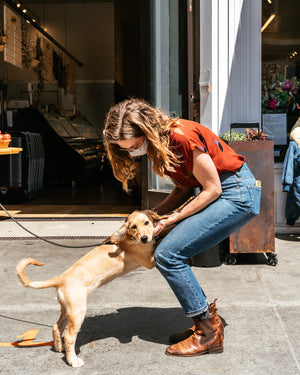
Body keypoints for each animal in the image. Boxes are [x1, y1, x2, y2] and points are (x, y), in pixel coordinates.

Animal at [16, 210, 165, 368]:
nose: (144, 239)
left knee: (56, 327)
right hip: (77, 312)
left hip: (67, 310)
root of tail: (61, 278)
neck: (129, 240)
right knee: (69, 336)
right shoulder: (150, 261)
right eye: (133, 227)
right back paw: (73, 361)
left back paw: (59, 348)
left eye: (146, 222)